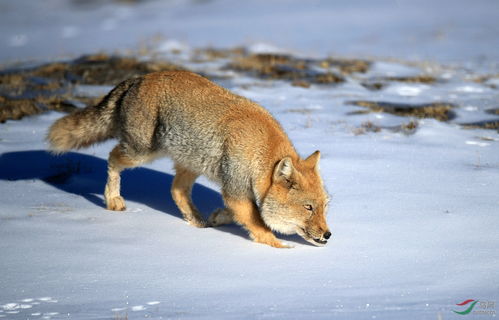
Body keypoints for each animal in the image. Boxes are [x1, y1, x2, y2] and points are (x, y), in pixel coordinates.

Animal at [47, 71, 332, 249]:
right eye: (308, 207)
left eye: (325, 207)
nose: (328, 234)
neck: (260, 151)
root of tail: (138, 78)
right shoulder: (236, 191)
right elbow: (261, 228)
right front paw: (281, 250)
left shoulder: (237, 193)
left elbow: (239, 215)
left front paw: (218, 218)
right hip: (140, 153)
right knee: (112, 158)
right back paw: (113, 199)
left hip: (192, 164)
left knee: (176, 190)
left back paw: (196, 221)